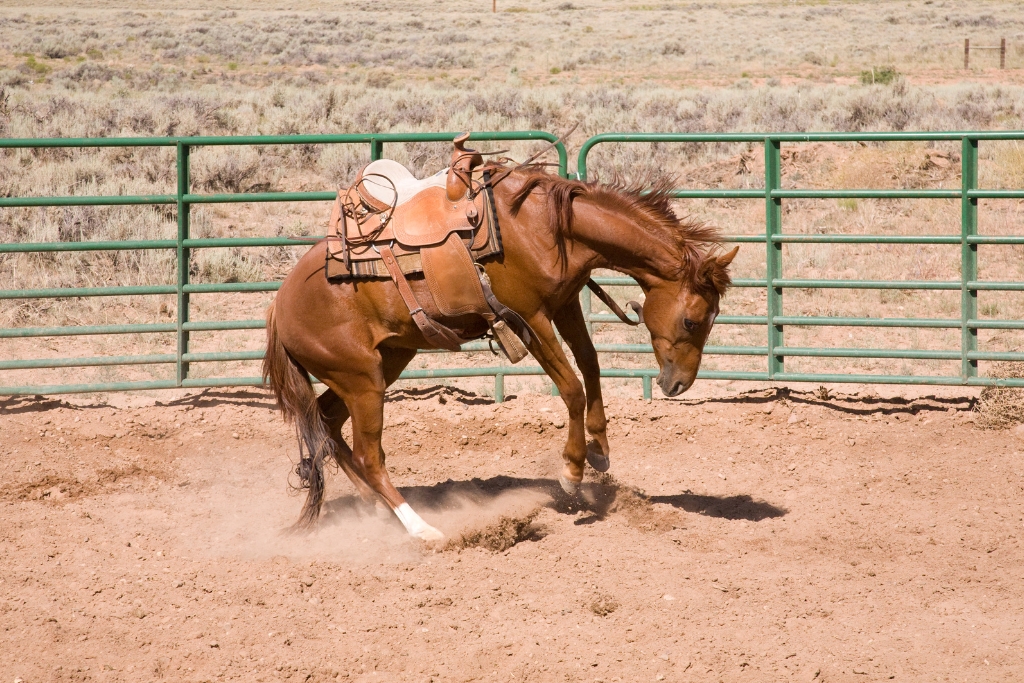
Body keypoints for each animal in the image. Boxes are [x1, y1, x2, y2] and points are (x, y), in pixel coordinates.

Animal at [262, 165, 737, 540]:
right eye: (693, 320)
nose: (678, 384)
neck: (548, 227)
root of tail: (280, 306)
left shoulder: (564, 304)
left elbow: (591, 364)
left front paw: (600, 449)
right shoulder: (530, 317)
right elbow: (572, 387)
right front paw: (572, 471)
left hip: (383, 363)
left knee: (328, 423)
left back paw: (375, 509)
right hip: (363, 381)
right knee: (368, 454)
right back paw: (422, 529)